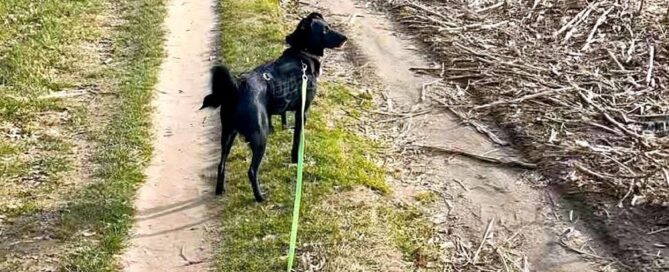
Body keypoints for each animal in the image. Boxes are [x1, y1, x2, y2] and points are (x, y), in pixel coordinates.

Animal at [200, 12, 348, 201]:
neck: (302, 54)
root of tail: (237, 87)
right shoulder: (302, 112)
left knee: (221, 164)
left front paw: (282, 127)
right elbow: (297, 140)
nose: (345, 38)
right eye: (325, 30)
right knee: (251, 170)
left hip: (227, 134)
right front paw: (295, 160)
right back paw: (259, 197)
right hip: (259, 138)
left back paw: (220, 189)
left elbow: (281, 117)